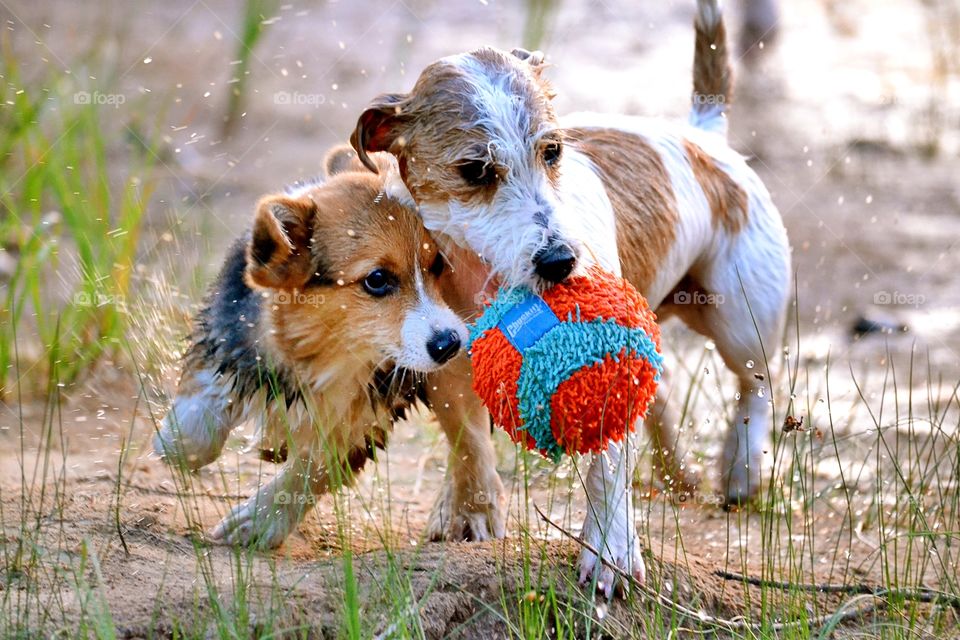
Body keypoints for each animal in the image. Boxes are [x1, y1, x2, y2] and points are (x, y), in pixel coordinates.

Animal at [156, 148, 466, 548]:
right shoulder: (230, 338)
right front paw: (177, 442)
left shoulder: (367, 413)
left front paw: (260, 520)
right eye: (377, 279)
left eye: (438, 263)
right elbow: (204, 408)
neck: (327, 352)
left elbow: (312, 468)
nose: (451, 344)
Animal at [348, 0, 792, 596]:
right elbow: (468, 439)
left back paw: (741, 470)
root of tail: (705, 137)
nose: (560, 261)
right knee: (664, 392)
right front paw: (471, 511)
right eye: (475, 170)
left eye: (552, 151)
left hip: (739, 318)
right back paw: (678, 474)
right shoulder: (441, 361)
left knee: (756, 385)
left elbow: (608, 468)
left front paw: (608, 552)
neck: (480, 278)